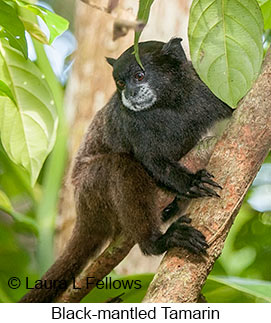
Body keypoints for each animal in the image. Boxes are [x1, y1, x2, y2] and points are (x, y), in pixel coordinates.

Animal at [20, 38, 234, 304]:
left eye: (139, 76)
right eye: (120, 83)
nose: (129, 93)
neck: (169, 104)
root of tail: (82, 212)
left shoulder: (204, 89)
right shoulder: (130, 121)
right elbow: (152, 161)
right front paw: (191, 182)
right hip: (91, 189)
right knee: (121, 166)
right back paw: (158, 241)